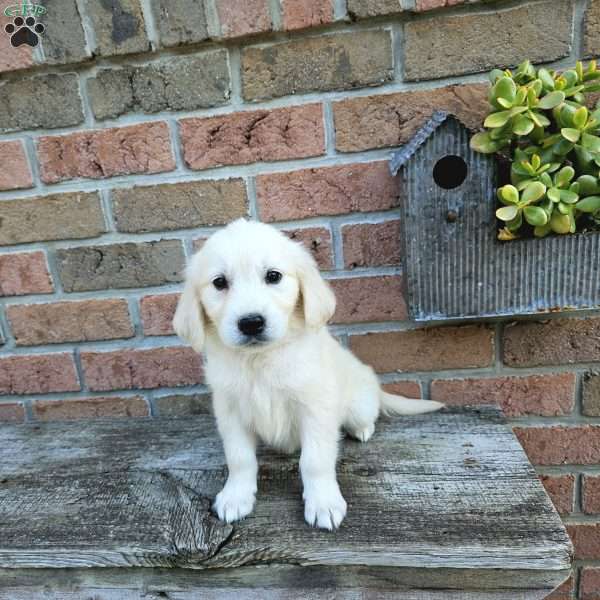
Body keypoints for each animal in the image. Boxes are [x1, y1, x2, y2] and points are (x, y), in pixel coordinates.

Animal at [171, 218, 442, 528]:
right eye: (219, 283)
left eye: (273, 276)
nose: (251, 323)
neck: (260, 360)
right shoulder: (229, 411)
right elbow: (239, 458)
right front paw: (235, 497)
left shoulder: (315, 409)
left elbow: (315, 460)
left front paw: (323, 502)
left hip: (358, 404)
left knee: (366, 416)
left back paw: (361, 429)